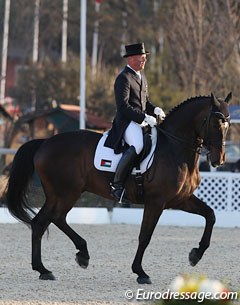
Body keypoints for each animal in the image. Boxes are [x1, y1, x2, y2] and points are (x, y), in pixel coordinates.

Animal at [4, 92, 232, 282]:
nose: (219, 160)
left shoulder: (180, 200)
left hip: (60, 194)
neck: (175, 150)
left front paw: (195, 255)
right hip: (66, 193)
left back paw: (58, 263)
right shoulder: (156, 202)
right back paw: (55, 264)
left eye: (228, 124)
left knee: (46, 221)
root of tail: (45, 142)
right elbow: (145, 236)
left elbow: (210, 215)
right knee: (49, 220)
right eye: (215, 123)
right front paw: (140, 272)